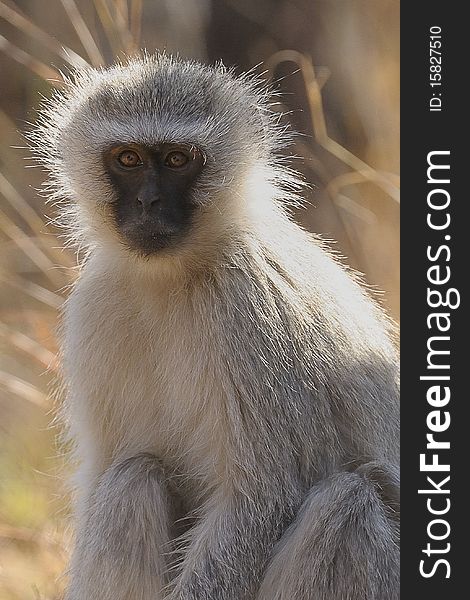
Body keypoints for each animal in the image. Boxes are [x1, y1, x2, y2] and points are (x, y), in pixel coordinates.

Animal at [33, 54, 398, 596]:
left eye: (179, 160)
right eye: (128, 159)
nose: (148, 204)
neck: (173, 279)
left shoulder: (249, 309)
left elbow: (260, 500)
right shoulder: (96, 305)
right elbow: (102, 475)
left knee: (346, 503)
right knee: (132, 476)